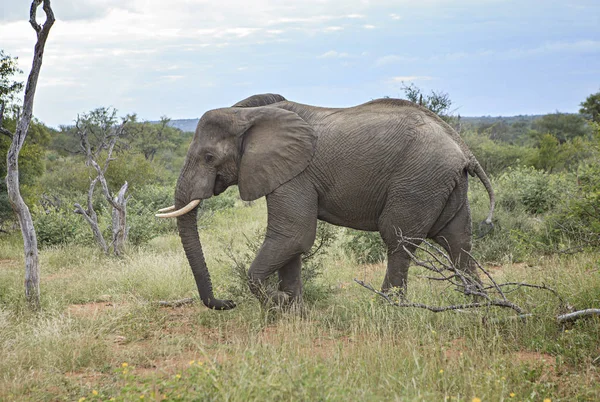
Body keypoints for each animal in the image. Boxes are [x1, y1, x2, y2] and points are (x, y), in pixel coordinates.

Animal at [157, 94, 494, 310]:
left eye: (209, 157)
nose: (228, 303)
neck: (249, 115)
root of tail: (464, 149)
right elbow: (292, 243)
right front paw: (293, 313)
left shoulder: (297, 173)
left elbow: (292, 235)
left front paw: (279, 304)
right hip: (443, 183)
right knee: (458, 242)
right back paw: (478, 308)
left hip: (418, 180)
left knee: (399, 241)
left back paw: (387, 311)